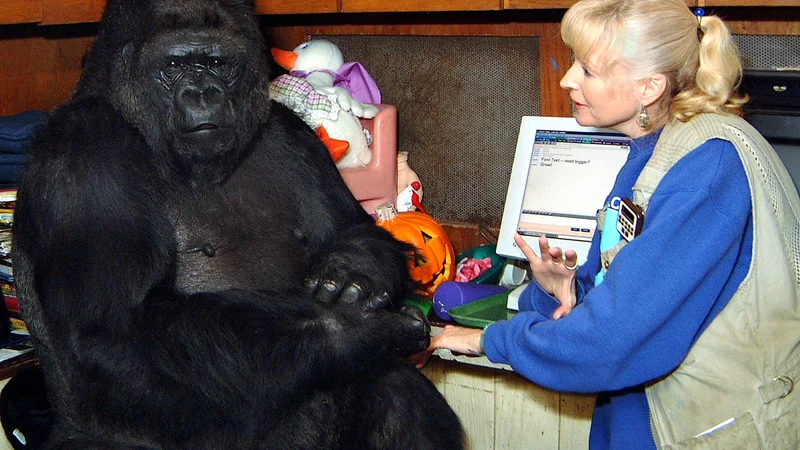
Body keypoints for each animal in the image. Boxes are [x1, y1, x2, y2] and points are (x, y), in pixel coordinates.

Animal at [10, 0, 462, 450]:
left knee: (397, 391)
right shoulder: (83, 153)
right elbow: (117, 327)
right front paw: (359, 330)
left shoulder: (290, 130)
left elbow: (354, 227)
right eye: (174, 65)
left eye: (217, 63)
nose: (203, 93)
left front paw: (356, 270)